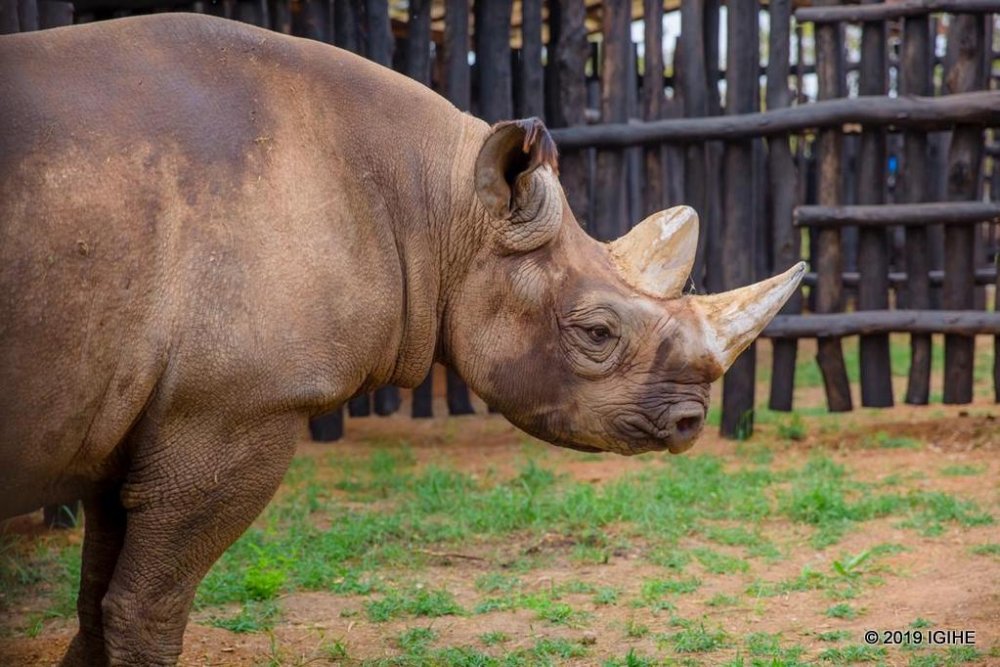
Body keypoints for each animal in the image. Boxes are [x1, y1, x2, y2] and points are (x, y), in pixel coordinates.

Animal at [0, 13, 804, 666]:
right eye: (598, 332)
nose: (692, 422)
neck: (441, 205)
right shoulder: (230, 410)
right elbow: (148, 608)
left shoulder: (134, 416)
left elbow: (96, 601)